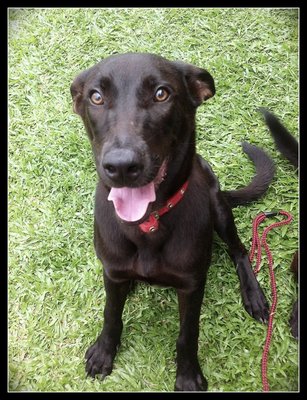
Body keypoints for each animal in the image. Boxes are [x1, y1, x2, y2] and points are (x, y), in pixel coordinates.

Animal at [71, 54, 276, 390]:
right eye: (96, 97)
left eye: (161, 94)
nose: (122, 166)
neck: (147, 223)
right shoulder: (111, 272)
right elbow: (111, 314)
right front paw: (104, 351)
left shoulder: (192, 285)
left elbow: (187, 334)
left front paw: (188, 375)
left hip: (219, 208)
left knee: (240, 251)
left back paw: (254, 294)